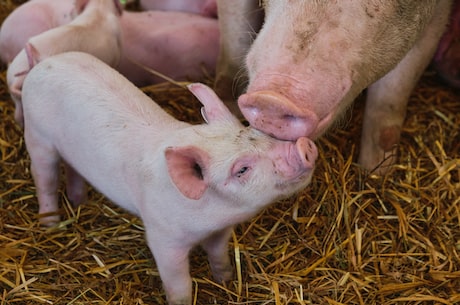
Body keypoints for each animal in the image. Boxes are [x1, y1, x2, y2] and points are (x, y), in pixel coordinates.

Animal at [20, 51, 316, 304]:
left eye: (256, 132)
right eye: (241, 169)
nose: (304, 147)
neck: (210, 216)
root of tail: (46, 61)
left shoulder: (220, 231)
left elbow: (219, 254)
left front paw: (226, 280)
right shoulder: (163, 237)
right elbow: (179, 283)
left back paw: (79, 202)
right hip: (37, 135)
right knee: (44, 179)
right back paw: (51, 224)